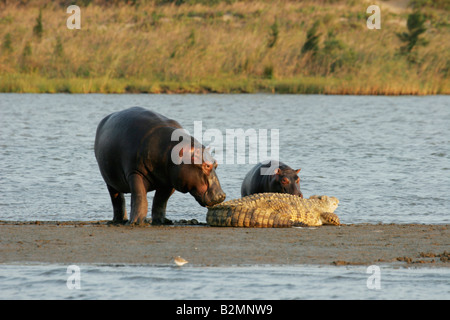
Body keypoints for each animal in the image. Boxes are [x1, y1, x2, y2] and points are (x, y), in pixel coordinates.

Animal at [96, 106, 229, 224]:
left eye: (216, 163)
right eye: (207, 166)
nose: (222, 195)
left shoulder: (169, 181)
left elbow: (160, 201)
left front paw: (162, 221)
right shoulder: (134, 173)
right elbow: (140, 198)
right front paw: (135, 222)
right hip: (110, 181)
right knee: (117, 199)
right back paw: (120, 220)